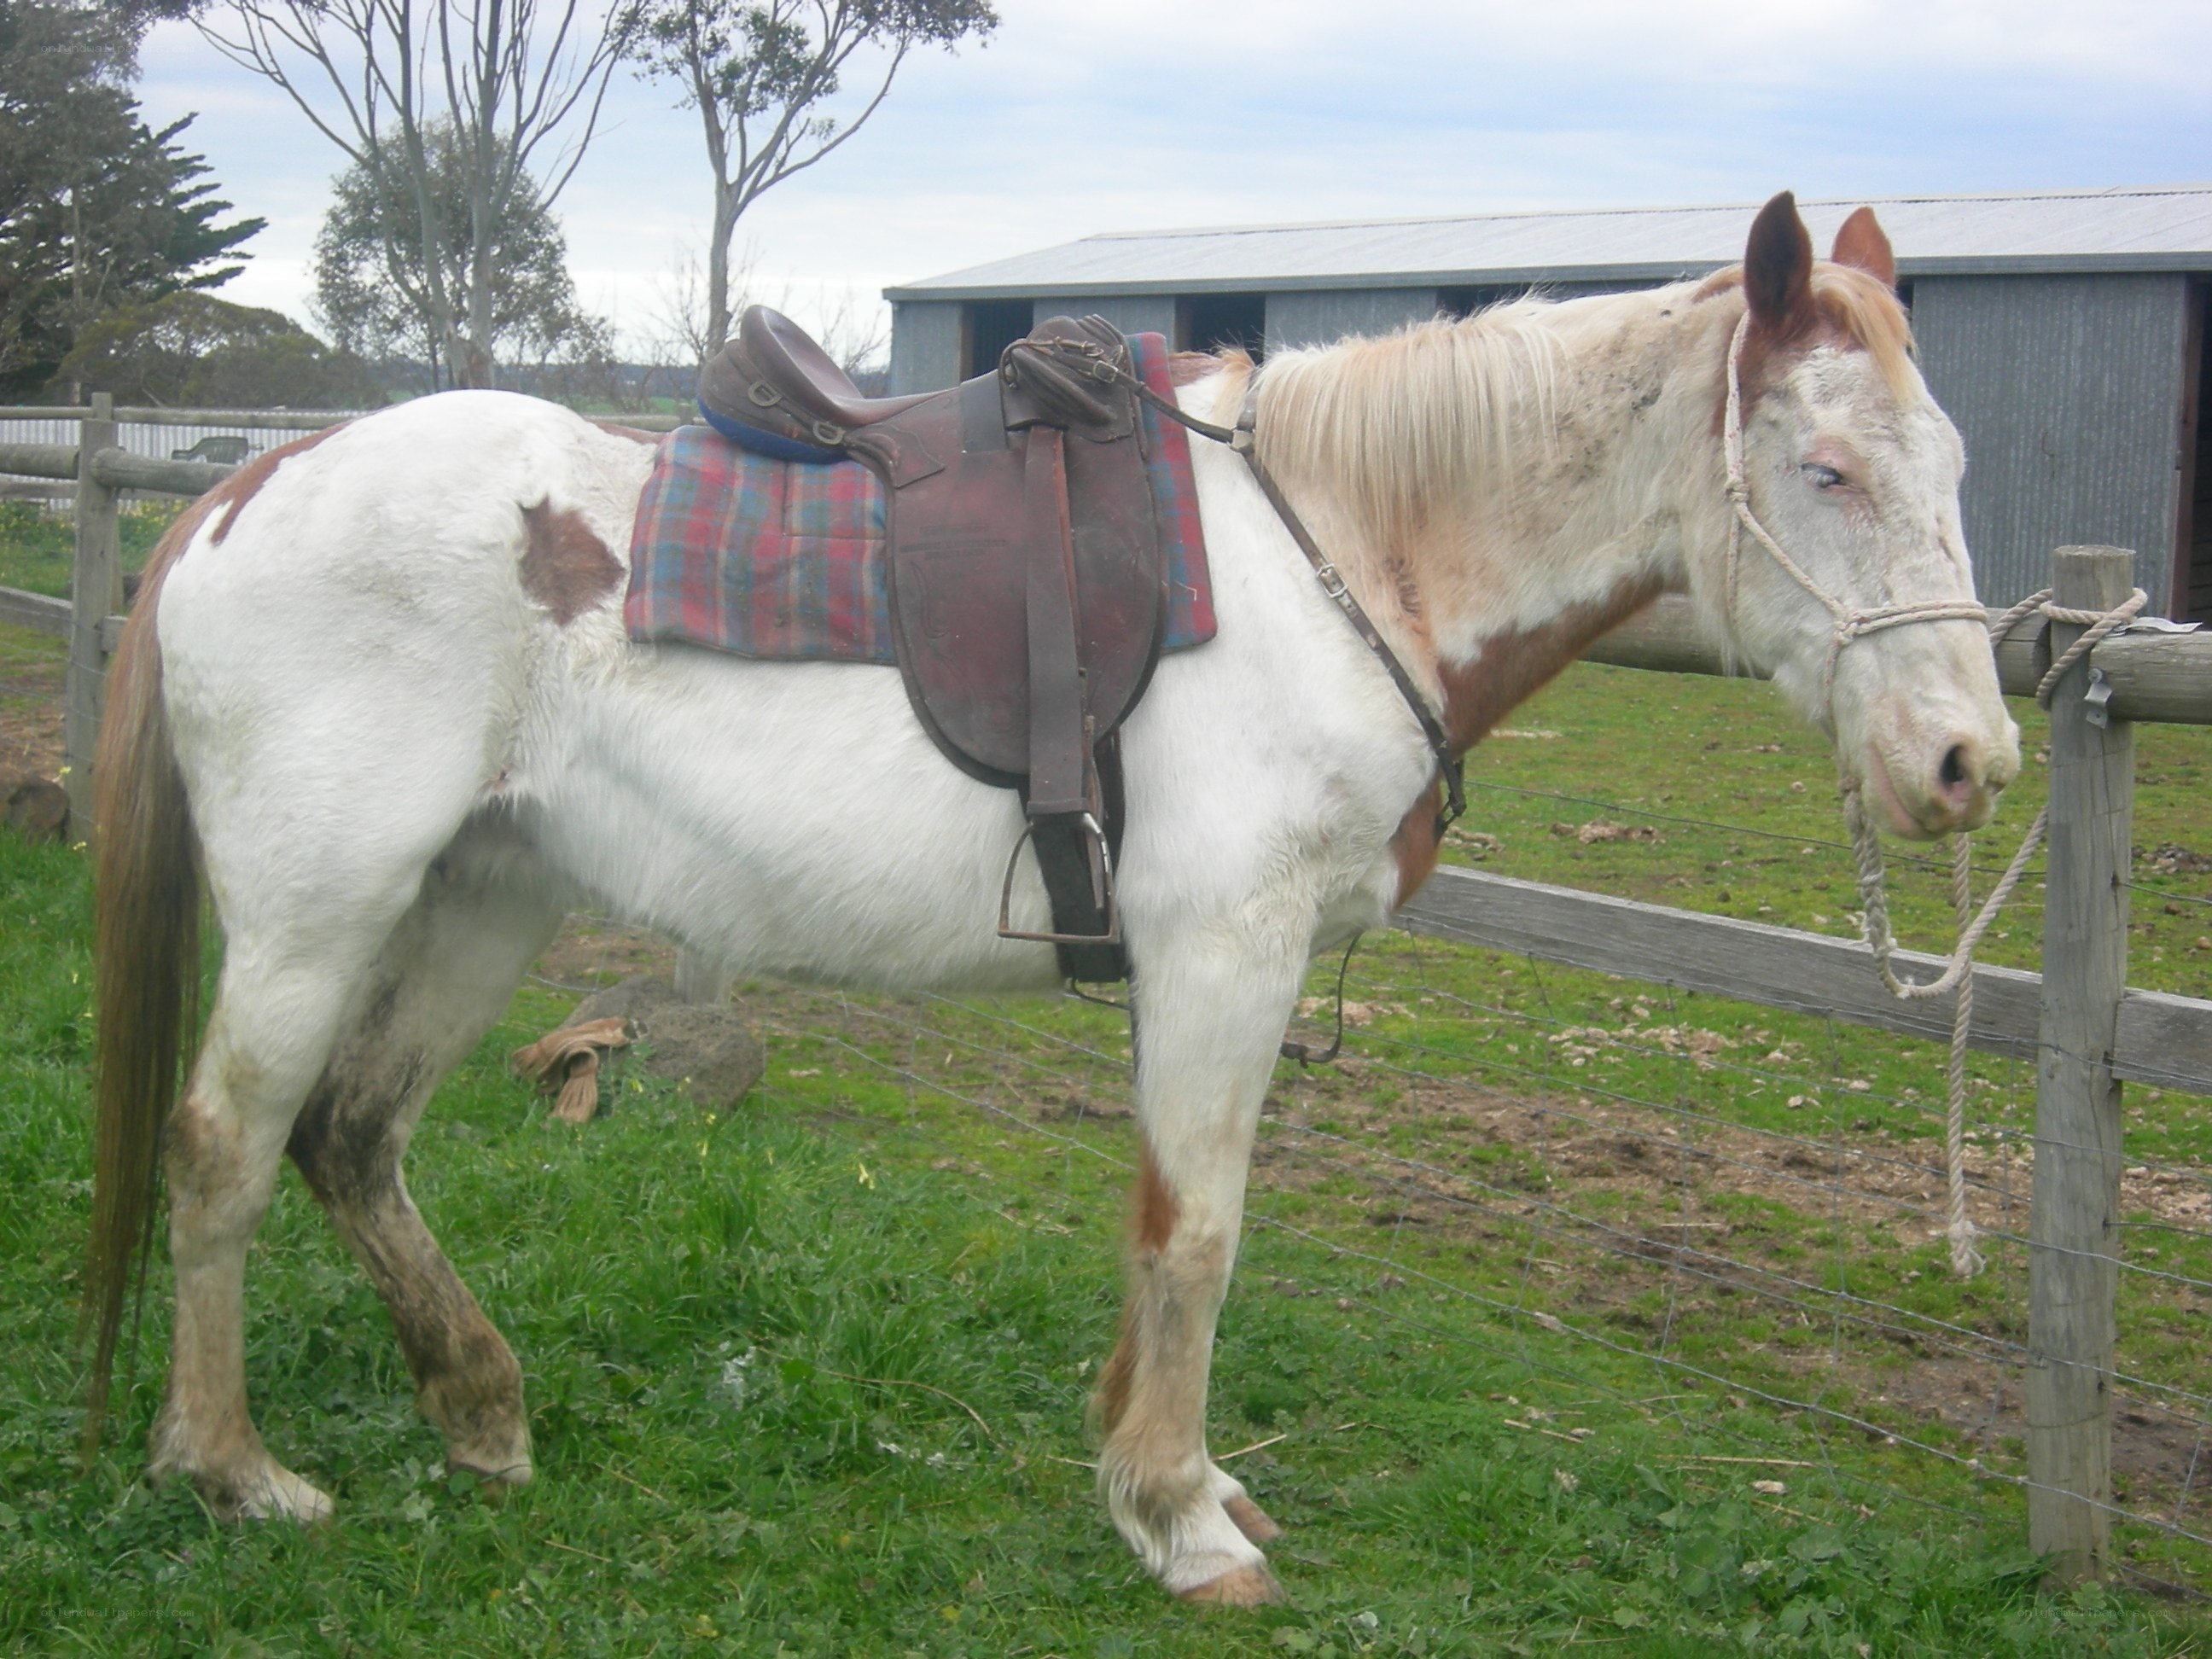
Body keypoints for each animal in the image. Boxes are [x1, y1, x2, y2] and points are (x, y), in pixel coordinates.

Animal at [82, 192, 2017, 1605]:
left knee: (353, 1137)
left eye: (1956, 470)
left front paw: (1170, 1475)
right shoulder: (1221, 952)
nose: (1966, 762)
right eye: (1826, 473)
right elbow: (1198, 1234)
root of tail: (248, 483)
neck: (1344, 559)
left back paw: (480, 1412)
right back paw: (231, 1466)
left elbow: (1174, 1230)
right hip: (320, 914)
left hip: (481, 896)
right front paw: (1179, 1517)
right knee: (224, 1148)